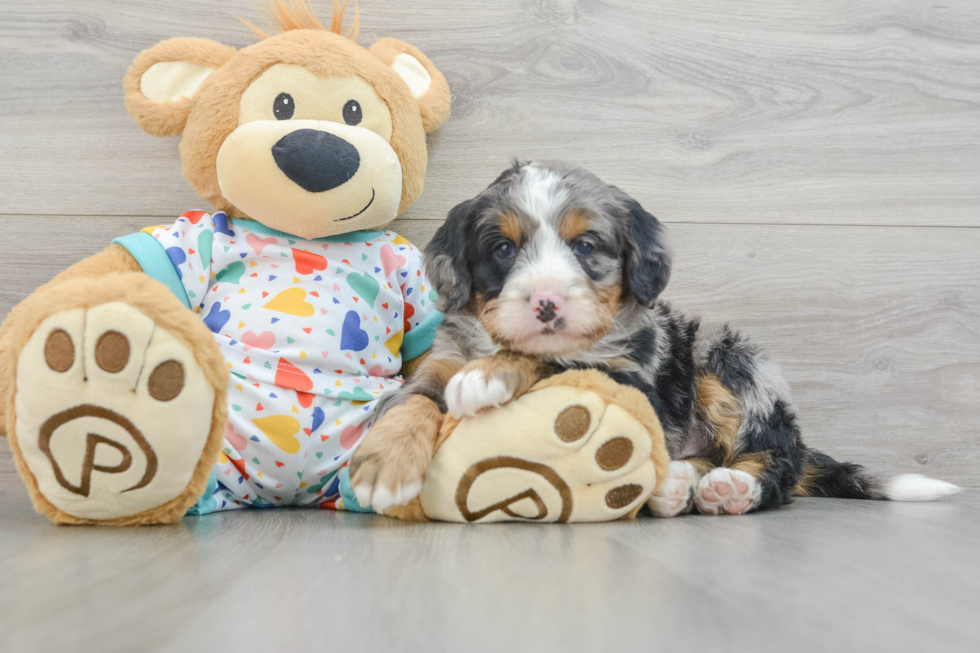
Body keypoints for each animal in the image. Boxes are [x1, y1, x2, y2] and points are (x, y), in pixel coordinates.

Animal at [348, 159, 960, 516]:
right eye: (502, 249)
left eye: (586, 246)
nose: (546, 302)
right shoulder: (443, 359)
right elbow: (411, 399)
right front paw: (384, 467)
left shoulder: (629, 377)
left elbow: (557, 361)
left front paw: (490, 375)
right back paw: (677, 484)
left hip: (727, 359)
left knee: (776, 462)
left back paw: (731, 489)